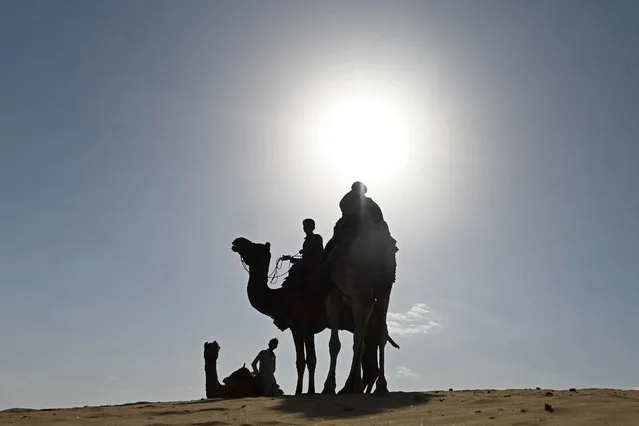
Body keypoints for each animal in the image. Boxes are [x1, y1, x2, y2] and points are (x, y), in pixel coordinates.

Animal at [230, 236, 400, 396]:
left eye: (254, 247)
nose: (237, 241)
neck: (282, 296)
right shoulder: (295, 327)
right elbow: (300, 361)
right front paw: (299, 390)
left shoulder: (306, 325)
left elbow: (311, 360)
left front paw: (309, 390)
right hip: (370, 327)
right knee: (370, 359)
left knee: (375, 348)